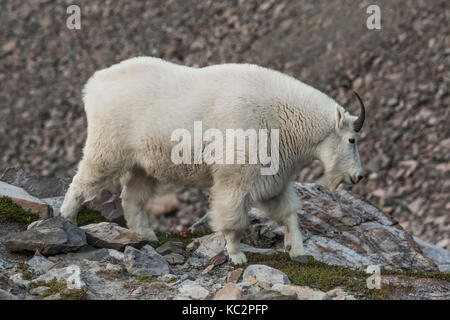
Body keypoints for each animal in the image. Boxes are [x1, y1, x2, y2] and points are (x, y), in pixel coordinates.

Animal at [60, 56, 366, 264]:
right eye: (352, 140)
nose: (359, 176)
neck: (284, 118)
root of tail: (93, 85)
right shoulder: (236, 175)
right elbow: (233, 216)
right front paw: (236, 255)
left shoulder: (273, 177)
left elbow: (288, 213)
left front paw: (298, 250)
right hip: (108, 147)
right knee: (82, 180)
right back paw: (66, 220)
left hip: (140, 163)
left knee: (133, 197)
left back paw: (146, 235)